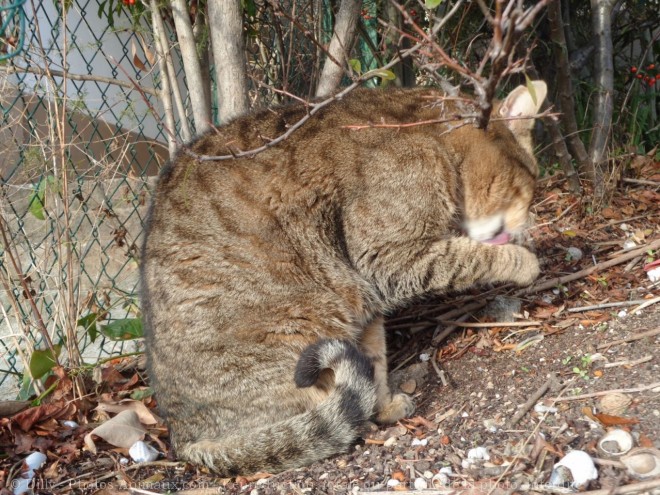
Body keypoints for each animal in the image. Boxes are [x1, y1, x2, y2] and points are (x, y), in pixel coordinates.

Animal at [139, 81, 548, 476]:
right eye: (523, 190)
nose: (522, 226)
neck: (436, 139)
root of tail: (182, 439)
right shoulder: (389, 255)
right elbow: (470, 257)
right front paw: (524, 261)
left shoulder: (367, 298)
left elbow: (376, 360)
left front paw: (384, 404)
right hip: (298, 325)